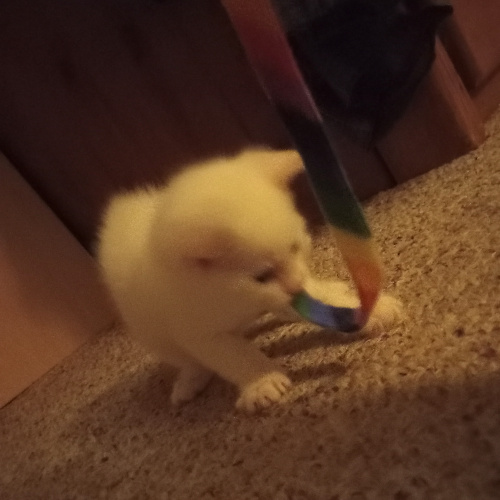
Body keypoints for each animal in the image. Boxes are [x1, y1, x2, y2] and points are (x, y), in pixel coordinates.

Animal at [98, 146, 402, 412]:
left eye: (295, 247)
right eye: (262, 275)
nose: (296, 286)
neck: (231, 297)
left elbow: (317, 302)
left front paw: (369, 310)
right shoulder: (199, 332)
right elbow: (235, 358)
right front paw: (261, 382)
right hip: (152, 333)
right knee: (188, 360)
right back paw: (190, 381)